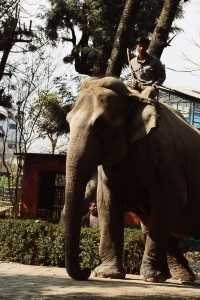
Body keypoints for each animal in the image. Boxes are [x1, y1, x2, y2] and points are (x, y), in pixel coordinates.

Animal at [64, 76, 200, 282]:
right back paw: (182, 278)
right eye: (68, 121)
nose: (86, 270)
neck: (133, 96)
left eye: (102, 125)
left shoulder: (166, 159)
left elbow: (169, 200)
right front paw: (107, 274)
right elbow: (107, 203)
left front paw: (151, 277)